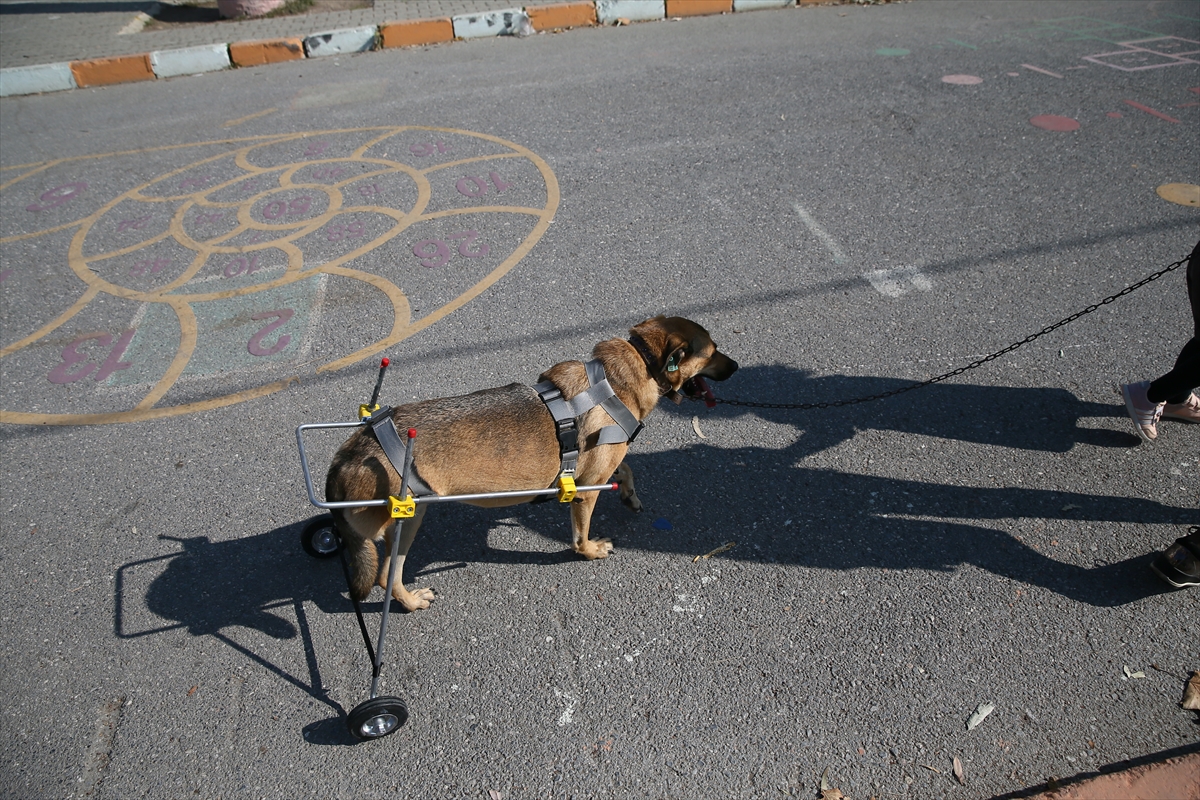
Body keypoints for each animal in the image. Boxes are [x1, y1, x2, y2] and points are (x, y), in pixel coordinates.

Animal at [328, 316, 739, 609]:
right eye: (713, 351)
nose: (736, 366)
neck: (636, 365)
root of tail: (350, 453)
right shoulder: (586, 491)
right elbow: (581, 535)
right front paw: (590, 551)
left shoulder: (603, 463)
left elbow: (626, 468)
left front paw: (630, 494)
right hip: (410, 518)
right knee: (387, 576)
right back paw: (411, 602)